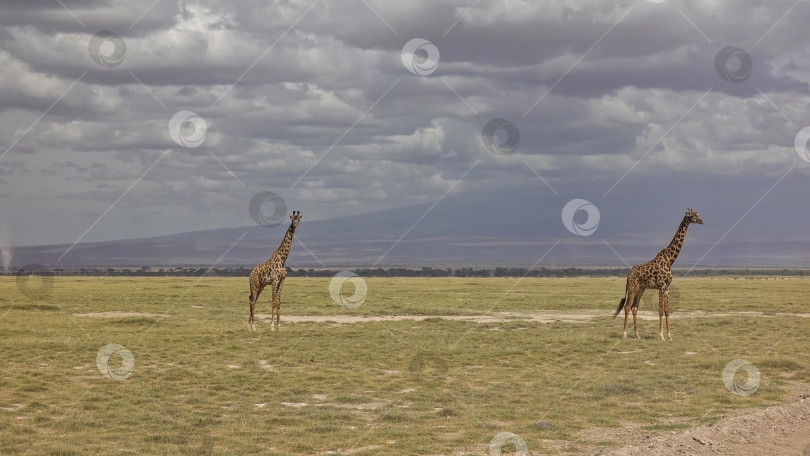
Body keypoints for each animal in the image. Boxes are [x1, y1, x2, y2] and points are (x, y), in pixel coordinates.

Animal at [612, 208, 700, 340]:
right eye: (692, 216)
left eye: (697, 214)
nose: (701, 221)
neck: (669, 260)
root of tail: (628, 275)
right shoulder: (661, 286)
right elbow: (660, 310)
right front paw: (661, 336)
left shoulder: (667, 287)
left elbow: (667, 311)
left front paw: (669, 336)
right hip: (633, 287)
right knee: (627, 306)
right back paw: (624, 334)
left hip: (641, 288)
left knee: (634, 307)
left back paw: (637, 335)